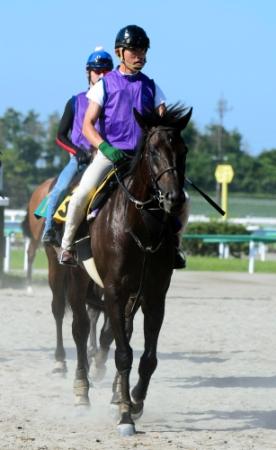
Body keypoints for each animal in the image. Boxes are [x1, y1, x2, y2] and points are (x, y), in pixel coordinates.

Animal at [70, 105, 192, 436]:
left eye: (183, 150)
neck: (141, 227)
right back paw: (82, 392)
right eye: (152, 151)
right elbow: (123, 353)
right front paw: (125, 415)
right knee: (79, 329)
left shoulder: (154, 295)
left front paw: (134, 400)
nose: (174, 198)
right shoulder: (114, 290)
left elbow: (148, 357)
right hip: (76, 281)